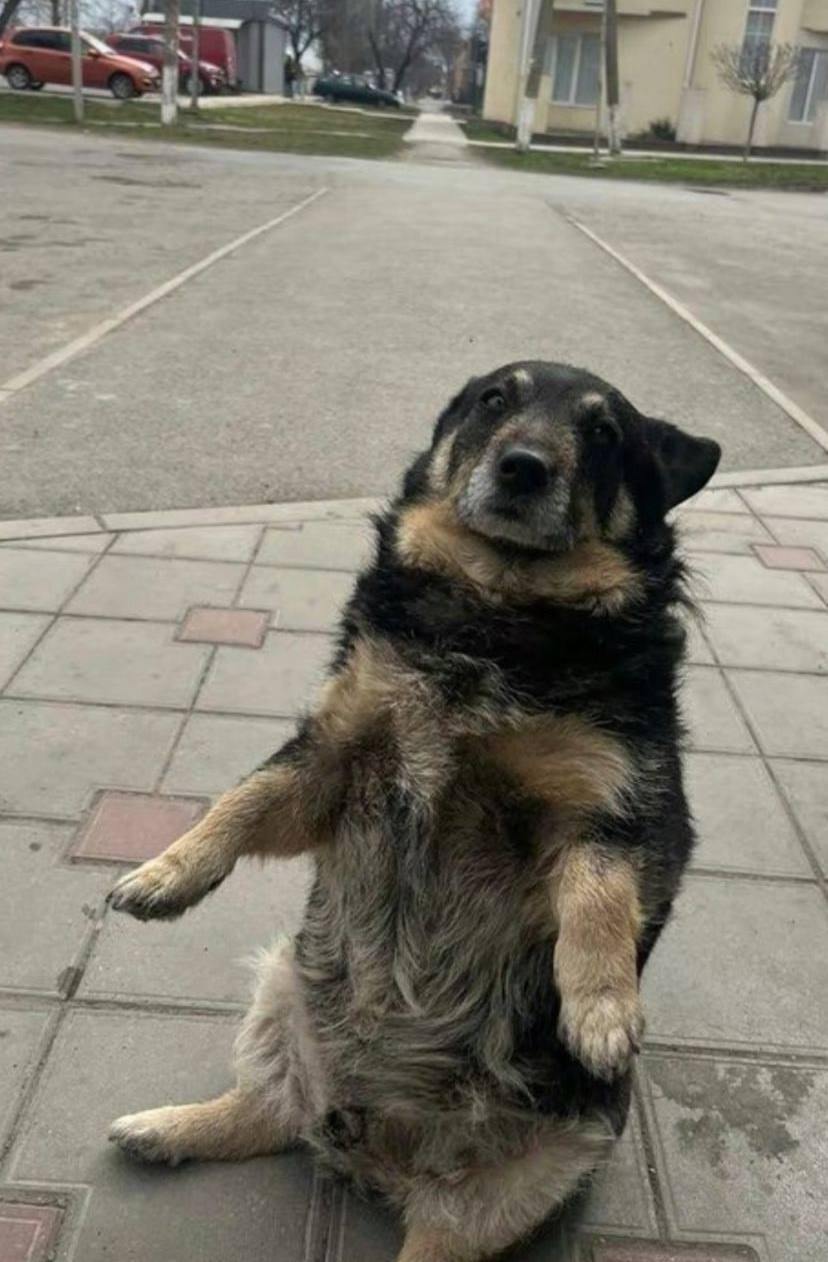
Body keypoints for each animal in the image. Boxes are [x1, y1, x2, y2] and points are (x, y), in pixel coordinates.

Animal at [107, 360, 720, 1262]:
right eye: (496, 400)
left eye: (604, 433)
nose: (524, 466)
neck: (494, 615)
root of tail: (371, 1148)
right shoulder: (331, 761)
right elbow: (244, 798)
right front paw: (166, 872)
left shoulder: (625, 812)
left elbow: (600, 893)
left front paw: (601, 1009)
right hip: (281, 987)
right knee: (268, 1109)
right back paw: (165, 1128)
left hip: (511, 1185)